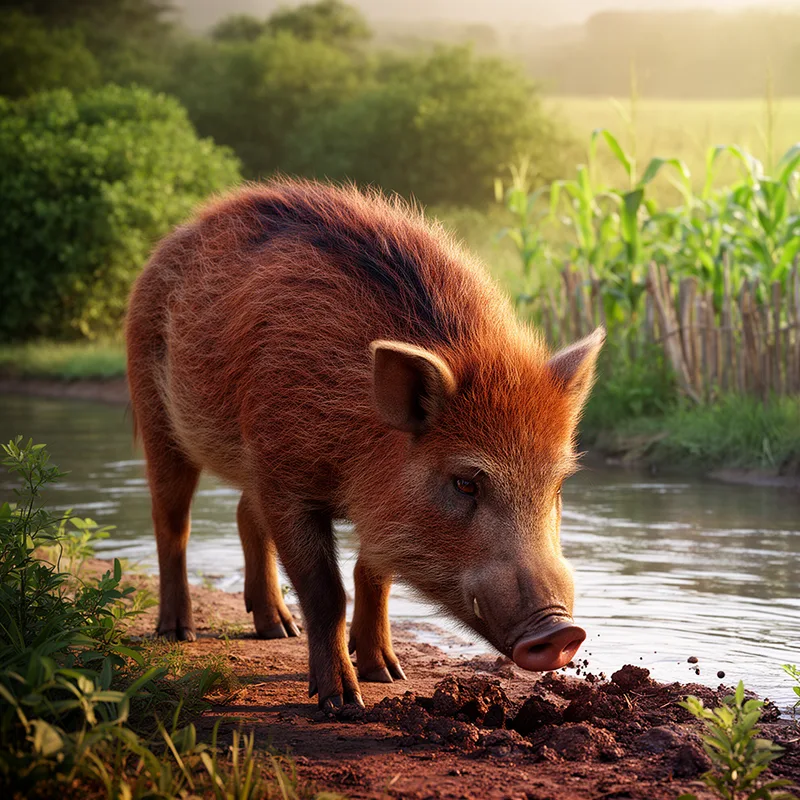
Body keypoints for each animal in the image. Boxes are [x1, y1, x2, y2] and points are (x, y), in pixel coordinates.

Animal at [125, 180, 604, 709]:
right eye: (464, 483)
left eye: (556, 487)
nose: (561, 631)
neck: (357, 448)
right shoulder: (286, 480)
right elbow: (326, 591)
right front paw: (342, 702)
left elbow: (375, 577)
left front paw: (387, 675)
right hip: (154, 411)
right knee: (172, 521)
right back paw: (177, 632)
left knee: (244, 514)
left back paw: (279, 630)